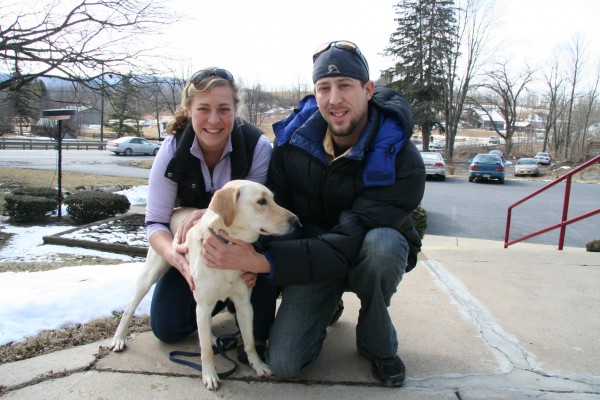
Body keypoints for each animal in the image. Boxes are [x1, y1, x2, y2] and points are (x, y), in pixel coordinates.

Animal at [110, 180, 298, 390]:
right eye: (261, 201)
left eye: (273, 199)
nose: (296, 220)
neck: (228, 244)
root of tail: (176, 209)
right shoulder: (204, 304)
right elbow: (206, 351)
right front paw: (209, 375)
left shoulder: (244, 304)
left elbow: (249, 341)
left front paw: (257, 365)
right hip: (151, 274)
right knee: (130, 308)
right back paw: (119, 338)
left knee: (204, 328)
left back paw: (214, 339)